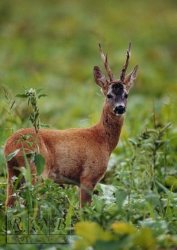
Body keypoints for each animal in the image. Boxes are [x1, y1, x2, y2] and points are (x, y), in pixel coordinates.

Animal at [4, 42, 138, 207]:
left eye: (126, 95)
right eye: (109, 95)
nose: (120, 108)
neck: (102, 140)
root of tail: (10, 146)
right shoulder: (88, 176)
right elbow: (84, 209)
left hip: (13, 172)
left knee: (8, 204)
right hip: (37, 168)